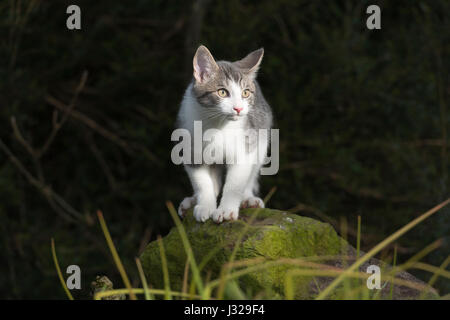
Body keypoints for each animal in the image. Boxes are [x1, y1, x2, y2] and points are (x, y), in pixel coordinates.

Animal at [177, 45, 272, 222]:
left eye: (245, 93)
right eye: (222, 92)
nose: (239, 108)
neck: (218, 125)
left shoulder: (245, 147)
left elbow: (235, 182)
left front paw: (226, 210)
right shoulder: (189, 146)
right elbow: (201, 181)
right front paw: (205, 206)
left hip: (261, 134)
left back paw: (248, 198)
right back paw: (192, 200)